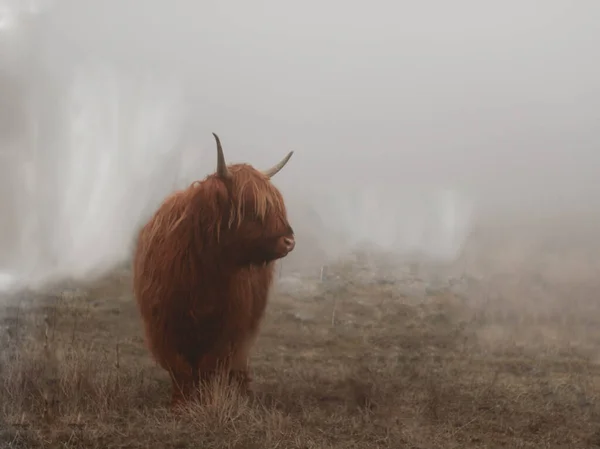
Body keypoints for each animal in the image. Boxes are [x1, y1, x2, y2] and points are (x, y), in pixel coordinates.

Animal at [135, 133, 296, 406]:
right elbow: (180, 370)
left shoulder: (229, 327)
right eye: (250, 207)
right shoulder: (163, 326)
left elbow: (208, 368)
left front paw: (204, 400)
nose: (289, 241)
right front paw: (180, 404)